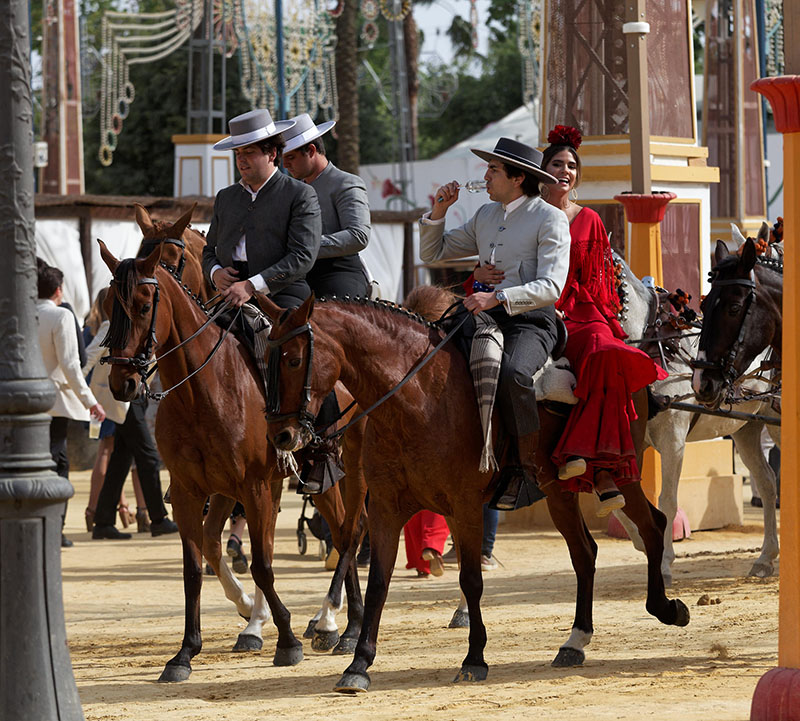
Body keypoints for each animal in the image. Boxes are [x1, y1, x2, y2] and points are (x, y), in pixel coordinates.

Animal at [97, 243, 368, 680]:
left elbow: (262, 564)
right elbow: (195, 567)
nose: (123, 383)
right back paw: (335, 626)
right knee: (338, 532)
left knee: (349, 532)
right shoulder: (194, 492)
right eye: (108, 306)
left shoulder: (255, 487)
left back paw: (334, 623)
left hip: (342, 473)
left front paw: (287, 640)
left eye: (142, 305)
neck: (200, 390)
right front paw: (186, 652)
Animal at [260, 286, 688, 692]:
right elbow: (380, 581)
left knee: (653, 525)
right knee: (585, 553)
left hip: (623, 471)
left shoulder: (464, 507)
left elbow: (470, 579)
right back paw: (575, 641)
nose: (281, 435)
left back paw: (666, 607)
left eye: (294, 360)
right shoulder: (386, 507)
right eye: (265, 362)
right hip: (557, 491)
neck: (417, 397)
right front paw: (359, 665)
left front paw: (475, 659)